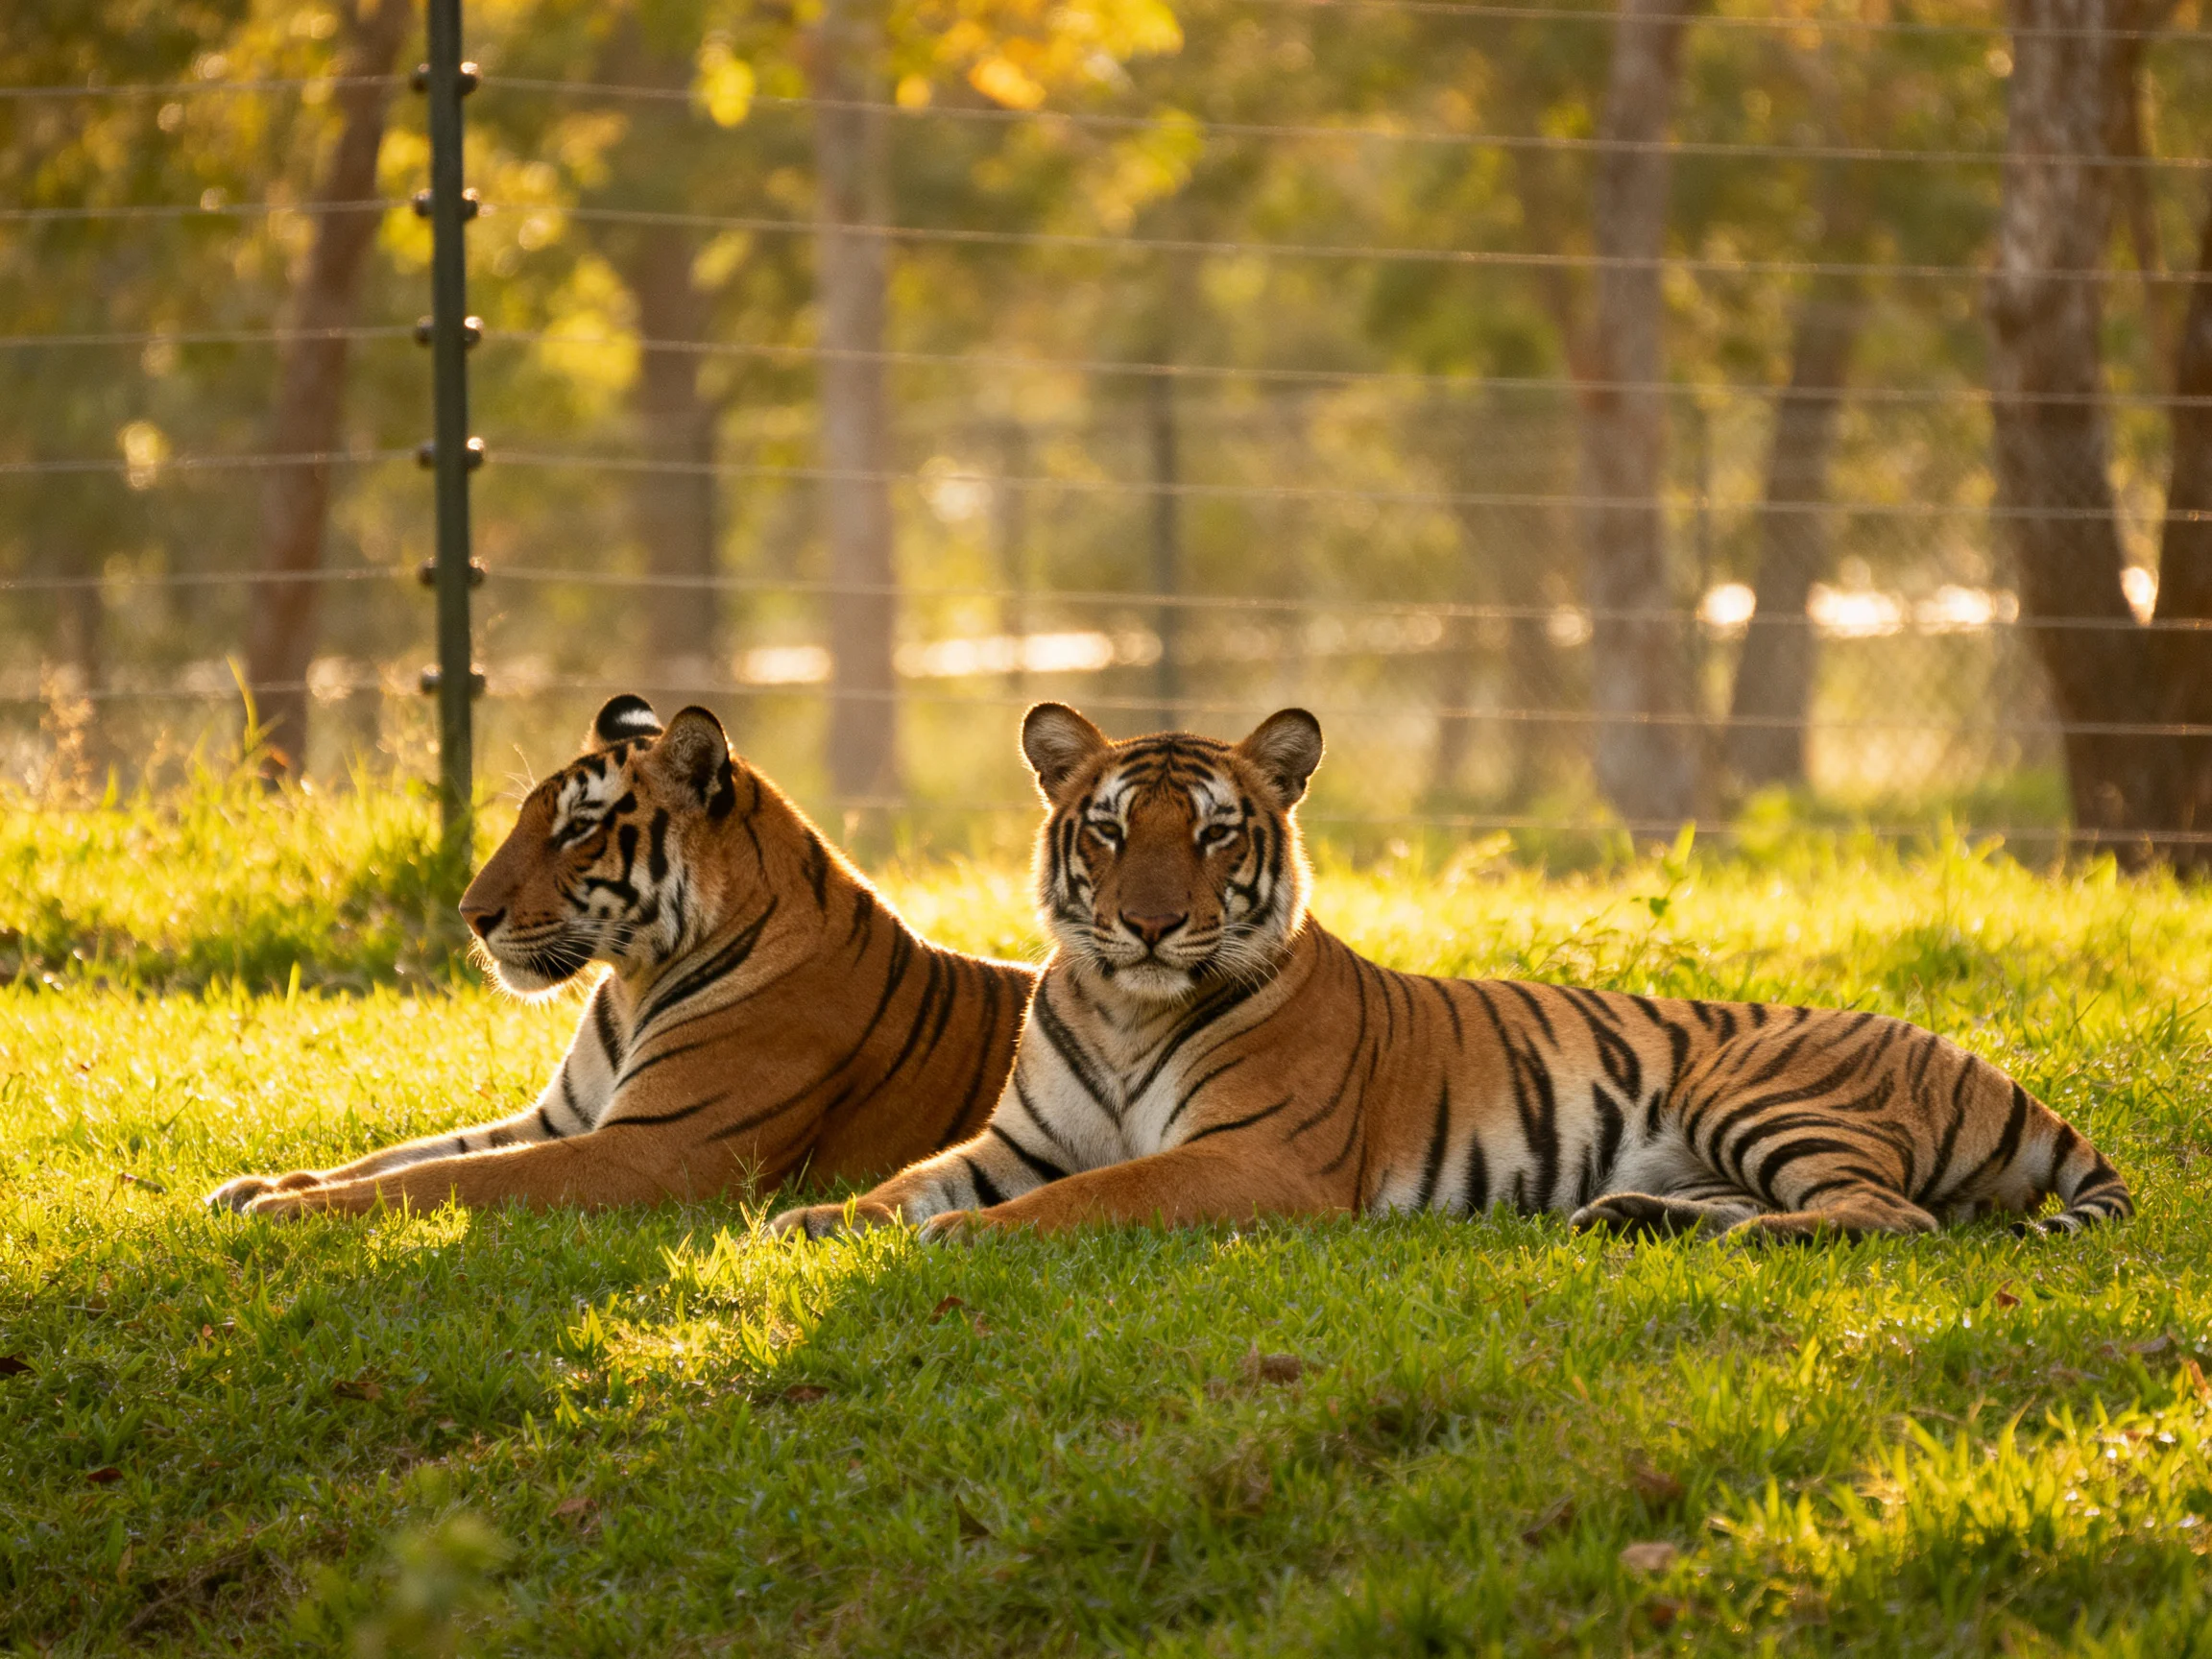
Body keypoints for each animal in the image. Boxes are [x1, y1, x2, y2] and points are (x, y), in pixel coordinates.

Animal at [207, 695, 1033, 1217]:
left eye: (578, 828)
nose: (471, 915)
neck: (634, 979)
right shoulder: (556, 1121)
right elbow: (407, 1155)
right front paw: (259, 1186)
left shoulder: (654, 1147)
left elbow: (449, 1177)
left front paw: (288, 1207)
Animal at [771, 702, 2132, 1244]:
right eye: (1108, 831)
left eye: (1213, 834)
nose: (1151, 926)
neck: (1120, 1009)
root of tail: (1992, 1067)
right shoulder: (1019, 1141)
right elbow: (908, 1185)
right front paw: (813, 1223)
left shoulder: (1253, 1157)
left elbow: (1090, 1199)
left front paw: (967, 1241)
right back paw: (1628, 1220)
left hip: (1754, 1092)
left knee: (1885, 1217)